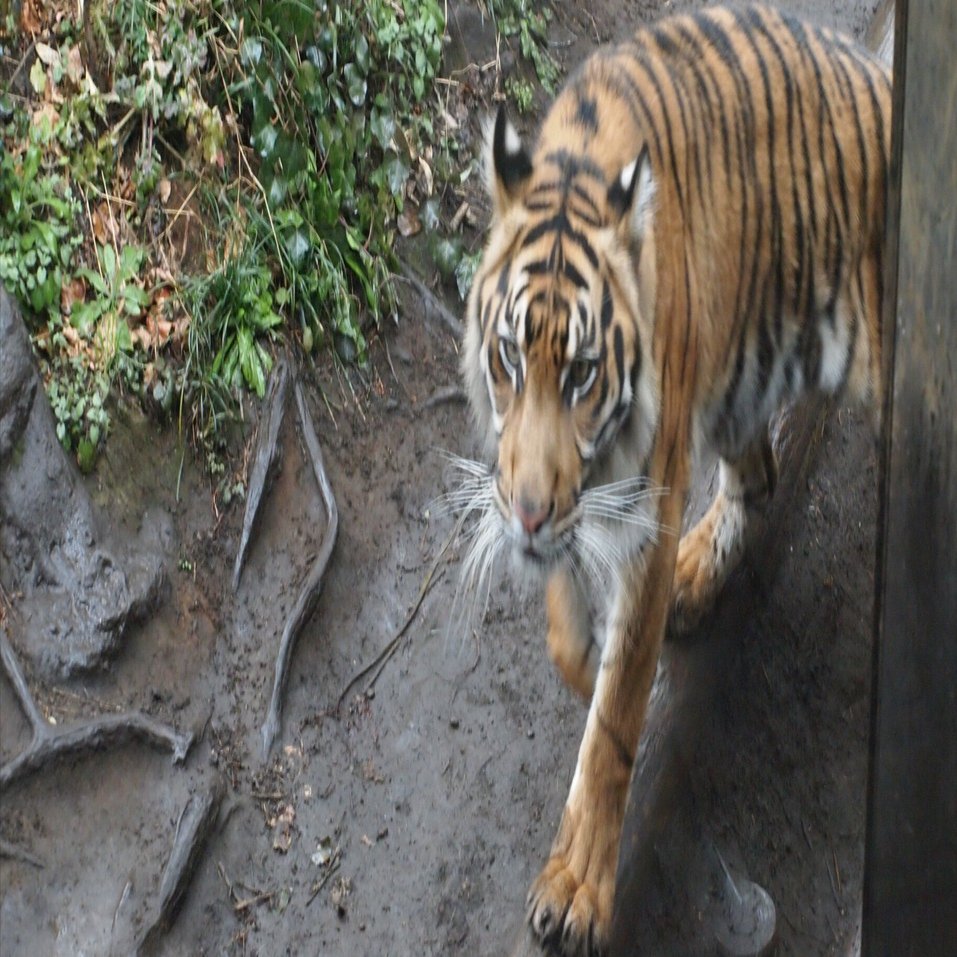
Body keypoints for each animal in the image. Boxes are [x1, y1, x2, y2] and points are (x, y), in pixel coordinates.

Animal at [454, 3, 891, 955]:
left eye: (582, 373)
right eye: (507, 358)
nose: (528, 517)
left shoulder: (638, 508)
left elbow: (617, 719)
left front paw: (578, 887)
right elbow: (569, 639)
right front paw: (589, 655)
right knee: (758, 476)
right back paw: (699, 576)